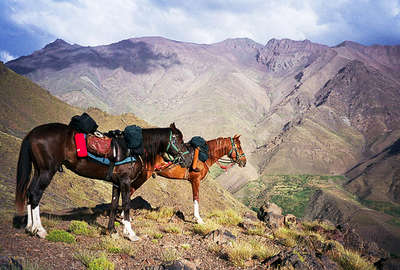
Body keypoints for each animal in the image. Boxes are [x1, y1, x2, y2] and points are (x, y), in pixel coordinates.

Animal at [14, 122, 186, 240]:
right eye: (178, 140)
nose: (186, 158)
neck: (133, 148)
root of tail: (33, 133)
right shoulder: (125, 182)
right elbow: (126, 205)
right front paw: (130, 234)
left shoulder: (117, 183)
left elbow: (114, 205)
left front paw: (112, 231)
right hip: (46, 171)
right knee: (36, 194)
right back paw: (39, 230)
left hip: (38, 170)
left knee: (30, 192)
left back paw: (29, 227)